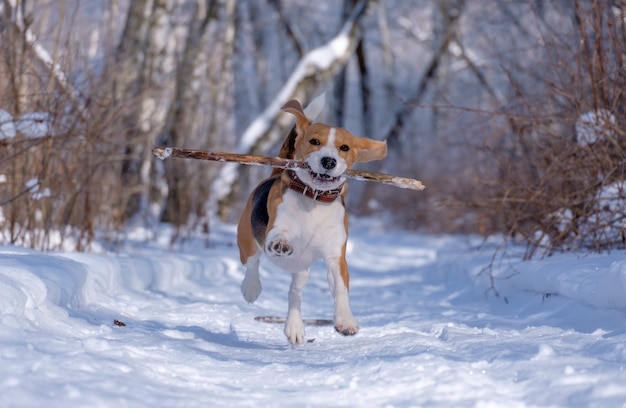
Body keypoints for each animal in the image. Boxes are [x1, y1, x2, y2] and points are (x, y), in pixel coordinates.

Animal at [238, 99, 386, 344]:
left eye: (344, 148)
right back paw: (251, 288)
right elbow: (279, 235)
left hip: (302, 268)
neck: (315, 198)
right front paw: (281, 244)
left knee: (294, 293)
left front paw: (346, 321)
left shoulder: (336, 257)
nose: (328, 161)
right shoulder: (275, 227)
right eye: (314, 141)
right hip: (247, 240)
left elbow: (341, 289)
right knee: (252, 263)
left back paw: (294, 326)